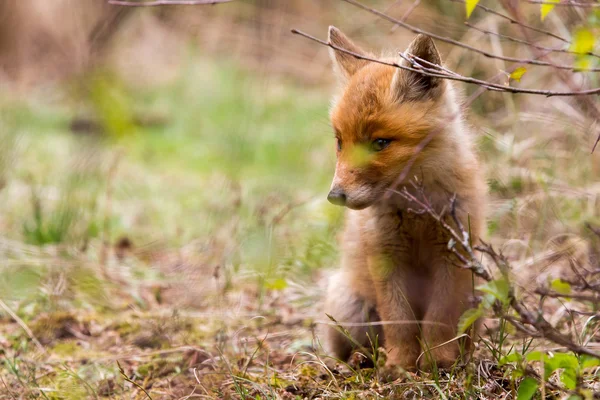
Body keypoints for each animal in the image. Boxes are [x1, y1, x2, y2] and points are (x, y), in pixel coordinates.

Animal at [322, 27, 486, 372]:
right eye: (340, 142)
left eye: (380, 143)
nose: (335, 196)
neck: (416, 213)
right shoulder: (384, 255)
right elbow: (398, 319)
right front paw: (400, 365)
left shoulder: (451, 254)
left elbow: (439, 319)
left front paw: (436, 361)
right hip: (348, 307)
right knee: (356, 346)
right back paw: (361, 359)